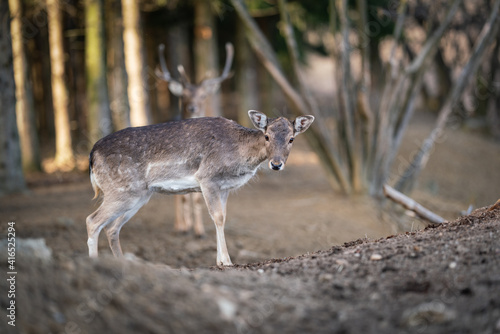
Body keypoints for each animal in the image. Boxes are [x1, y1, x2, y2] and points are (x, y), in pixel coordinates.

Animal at [85, 111, 312, 268]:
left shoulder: (224, 187)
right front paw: (227, 261)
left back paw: (122, 262)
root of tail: (92, 155)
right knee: (92, 220)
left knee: (112, 228)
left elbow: (223, 217)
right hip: (121, 190)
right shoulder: (207, 178)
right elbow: (217, 217)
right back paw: (94, 263)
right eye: (266, 136)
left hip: (139, 195)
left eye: (291, 138)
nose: (276, 164)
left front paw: (220, 261)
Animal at [156, 42, 234, 237]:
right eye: (183, 95)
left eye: (203, 96)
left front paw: (199, 230)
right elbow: (183, 197)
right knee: (177, 196)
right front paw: (185, 227)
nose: (192, 108)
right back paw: (180, 225)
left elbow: (198, 198)